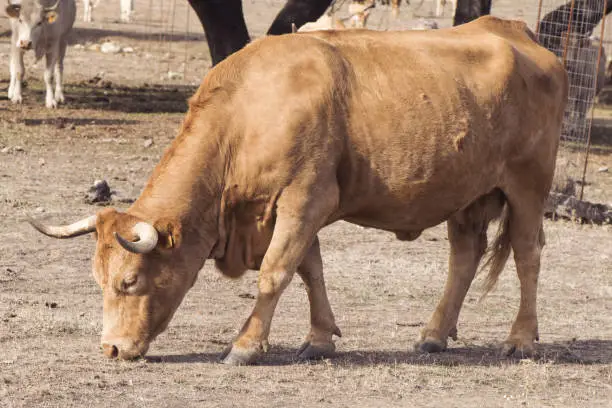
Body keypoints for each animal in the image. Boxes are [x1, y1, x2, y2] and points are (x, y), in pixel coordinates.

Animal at [31, 17, 568, 364]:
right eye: (99, 280)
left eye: (129, 281)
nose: (112, 348)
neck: (247, 114)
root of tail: (514, 31)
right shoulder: (290, 209)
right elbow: (311, 269)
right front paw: (320, 338)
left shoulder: (305, 198)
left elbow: (276, 271)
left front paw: (246, 345)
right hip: (467, 192)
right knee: (464, 256)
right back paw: (434, 335)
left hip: (527, 185)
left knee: (527, 254)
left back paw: (521, 339)